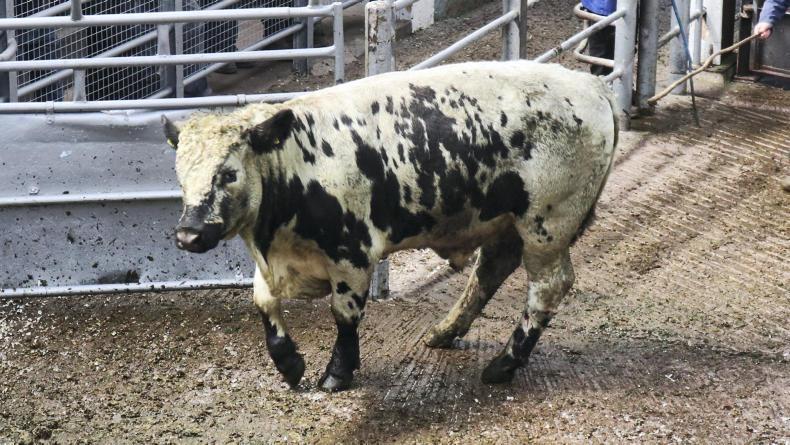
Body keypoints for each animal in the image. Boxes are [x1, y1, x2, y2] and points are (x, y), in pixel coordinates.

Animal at [163, 60, 618, 392]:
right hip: (505, 222)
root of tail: (591, 85)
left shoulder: (352, 255)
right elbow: (263, 302)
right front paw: (289, 363)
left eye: (229, 174)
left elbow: (344, 315)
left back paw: (503, 364)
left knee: (547, 288)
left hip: (547, 226)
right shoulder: (279, 263)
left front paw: (337, 373)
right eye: (179, 174)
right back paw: (445, 332)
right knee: (490, 271)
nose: (188, 234)